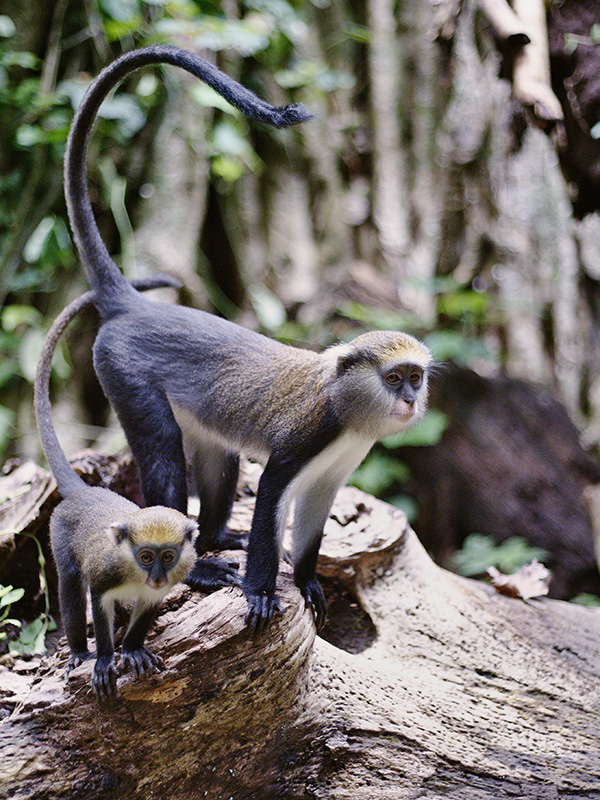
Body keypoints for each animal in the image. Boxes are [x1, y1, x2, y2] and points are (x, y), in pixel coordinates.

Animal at [33, 276, 236, 698]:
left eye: (167, 557)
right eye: (145, 557)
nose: (155, 576)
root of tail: (86, 491)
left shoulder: (163, 584)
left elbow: (146, 613)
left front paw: (134, 647)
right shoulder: (106, 575)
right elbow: (97, 603)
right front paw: (105, 659)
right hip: (60, 538)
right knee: (71, 592)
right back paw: (79, 652)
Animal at [64, 45, 434, 633]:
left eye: (416, 378)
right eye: (393, 376)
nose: (407, 399)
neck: (346, 404)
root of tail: (134, 305)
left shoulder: (340, 461)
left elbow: (314, 509)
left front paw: (306, 578)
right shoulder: (308, 434)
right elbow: (270, 496)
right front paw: (261, 592)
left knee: (220, 455)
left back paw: (216, 538)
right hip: (123, 374)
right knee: (163, 453)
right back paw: (197, 569)